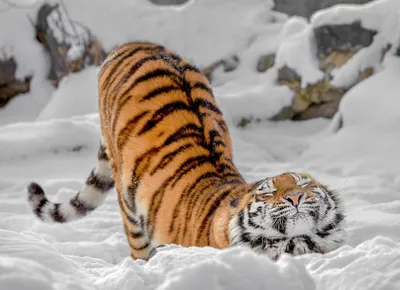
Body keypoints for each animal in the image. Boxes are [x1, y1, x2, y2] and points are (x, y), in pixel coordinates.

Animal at [26, 42, 346, 262]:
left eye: (304, 183)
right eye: (267, 192)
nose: (295, 197)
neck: (297, 243)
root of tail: (132, 44)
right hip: (128, 200)